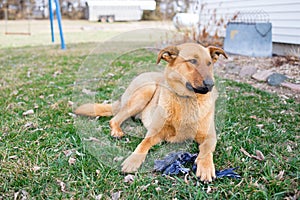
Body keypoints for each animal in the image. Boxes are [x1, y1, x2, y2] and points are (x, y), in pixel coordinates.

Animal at [75, 43, 227, 182]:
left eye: (209, 64)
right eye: (192, 61)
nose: (210, 84)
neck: (187, 99)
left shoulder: (210, 136)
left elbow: (206, 150)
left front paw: (206, 167)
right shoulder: (155, 132)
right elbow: (144, 143)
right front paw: (133, 160)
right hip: (147, 90)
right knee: (114, 119)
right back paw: (117, 131)